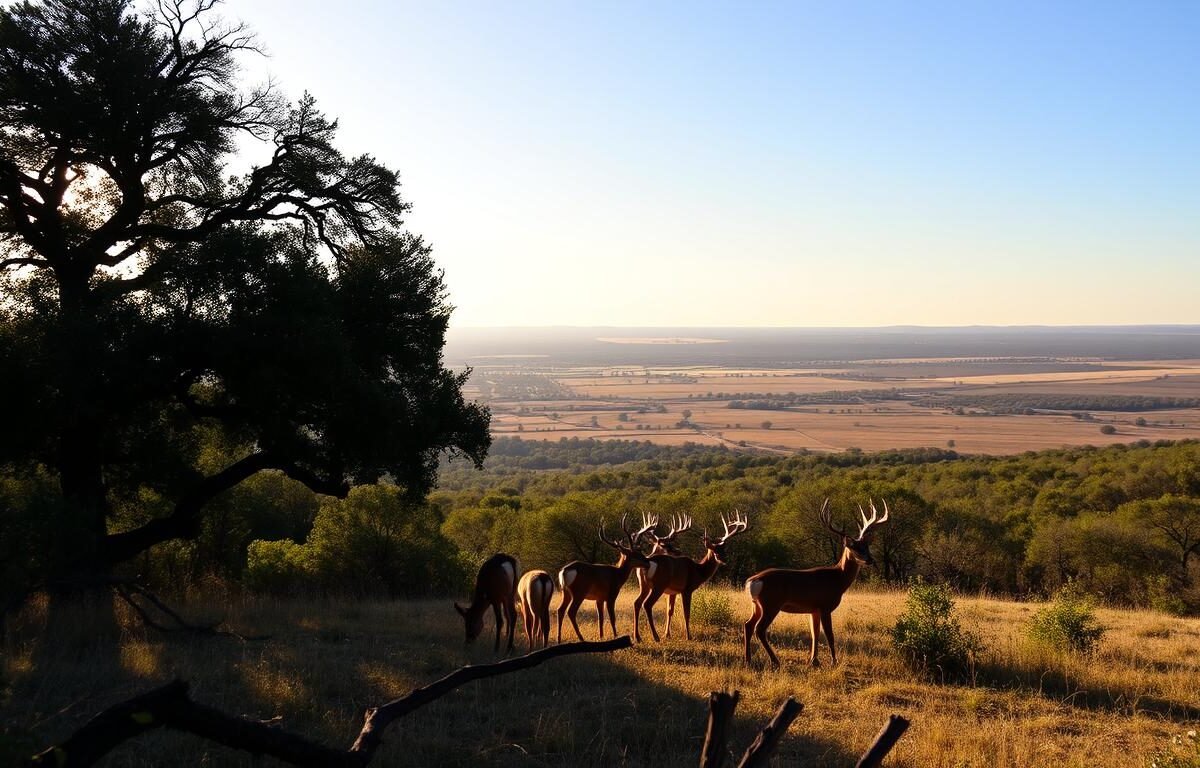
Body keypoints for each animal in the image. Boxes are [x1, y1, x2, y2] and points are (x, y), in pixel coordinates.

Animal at [633, 511, 749, 642]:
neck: (698, 571)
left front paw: (667, 634)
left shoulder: (673, 591)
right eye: (714, 551)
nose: (723, 559)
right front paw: (688, 636)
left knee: (637, 603)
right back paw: (655, 636)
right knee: (647, 604)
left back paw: (637, 637)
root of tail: (646, 562)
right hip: (659, 585)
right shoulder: (687, 589)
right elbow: (686, 613)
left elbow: (670, 611)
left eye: (723, 550)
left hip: (644, 585)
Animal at [744, 498, 889, 668]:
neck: (837, 579)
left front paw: (814, 661)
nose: (870, 560)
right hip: (771, 604)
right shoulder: (825, 606)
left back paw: (748, 660)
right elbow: (829, 635)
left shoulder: (814, 609)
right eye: (855, 548)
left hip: (756, 605)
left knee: (748, 625)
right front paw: (834, 661)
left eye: (867, 546)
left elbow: (815, 633)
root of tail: (753, 581)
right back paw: (775, 660)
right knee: (759, 629)